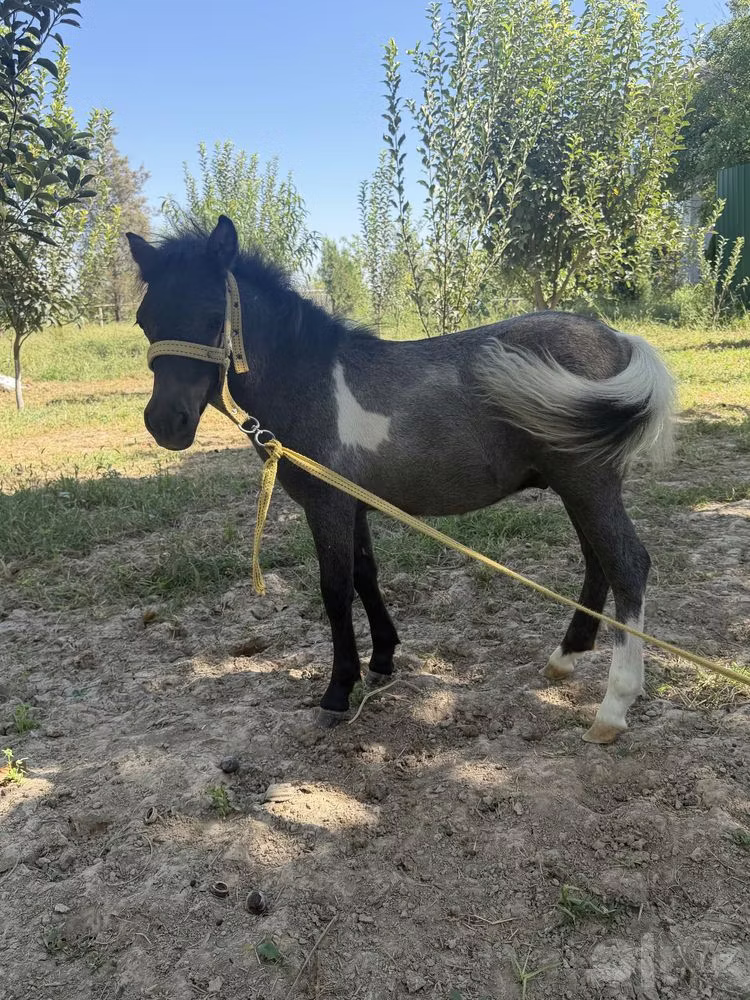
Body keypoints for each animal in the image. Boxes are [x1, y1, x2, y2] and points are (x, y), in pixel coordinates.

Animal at [126, 215, 674, 744]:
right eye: (144, 320)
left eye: (211, 315)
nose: (165, 423)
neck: (312, 381)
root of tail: (619, 340)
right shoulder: (354, 505)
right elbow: (366, 576)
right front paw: (383, 659)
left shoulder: (327, 507)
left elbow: (335, 589)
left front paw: (337, 692)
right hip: (576, 490)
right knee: (598, 563)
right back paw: (564, 658)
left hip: (588, 487)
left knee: (627, 566)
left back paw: (613, 708)